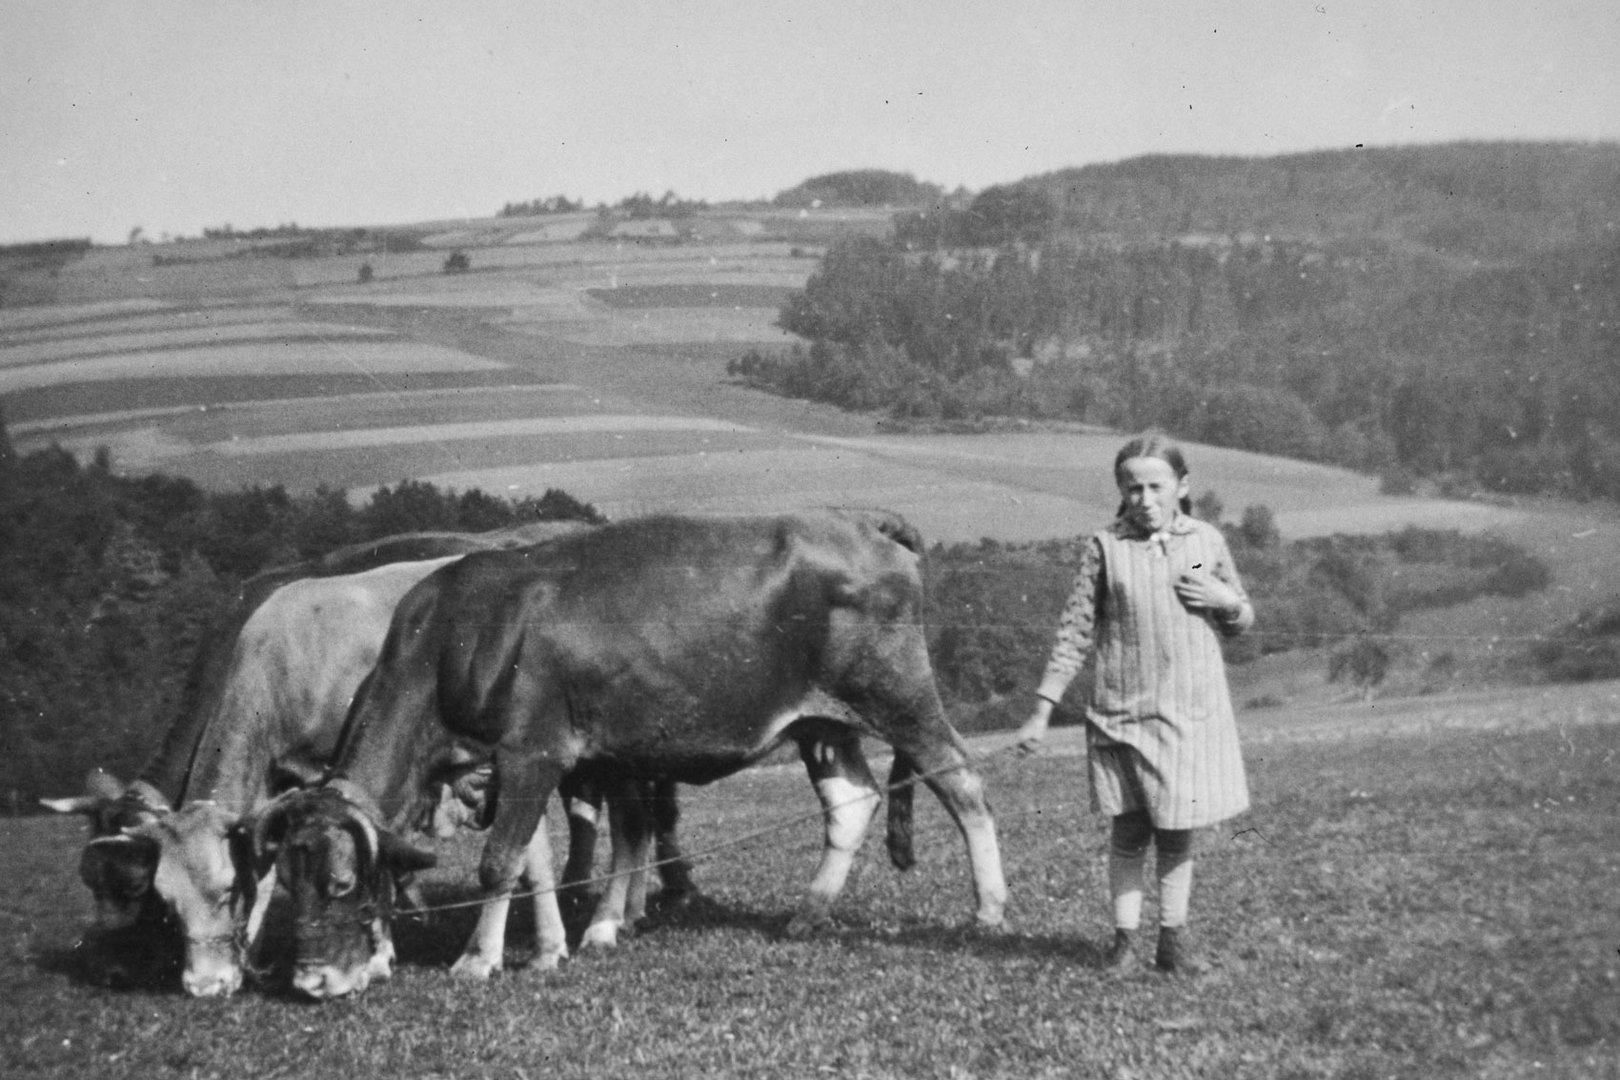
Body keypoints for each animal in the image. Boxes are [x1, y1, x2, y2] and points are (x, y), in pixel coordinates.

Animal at [254, 511, 1004, 1003]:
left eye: (341, 883)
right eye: (288, 880)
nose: (312, 981)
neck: (454, 637)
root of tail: (867, 526)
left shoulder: (531, 751)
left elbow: (503, 860)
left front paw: (479, 958)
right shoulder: (577, 756)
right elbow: (598, 841)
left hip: (898, 696)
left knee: (963, 782)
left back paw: (989, 911)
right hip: (823, 723)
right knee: (851, 802)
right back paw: (808, 911)